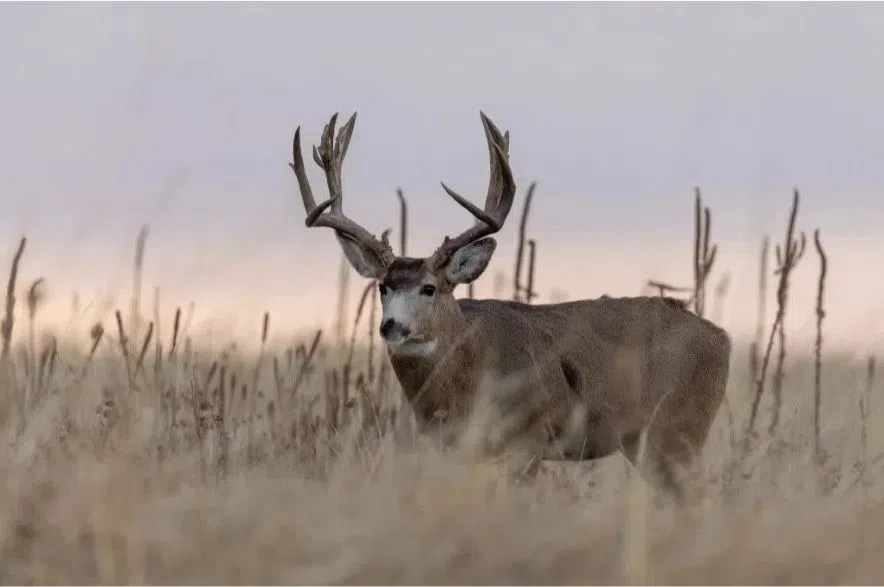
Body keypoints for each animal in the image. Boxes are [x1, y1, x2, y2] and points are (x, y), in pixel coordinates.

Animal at [288, 111, 732, 503]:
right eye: (383, 287)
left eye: (430, 288)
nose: (392, 326)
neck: (470, 369)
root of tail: (723, 338)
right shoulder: (452, 446)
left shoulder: (529, 440)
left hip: (679, 427)